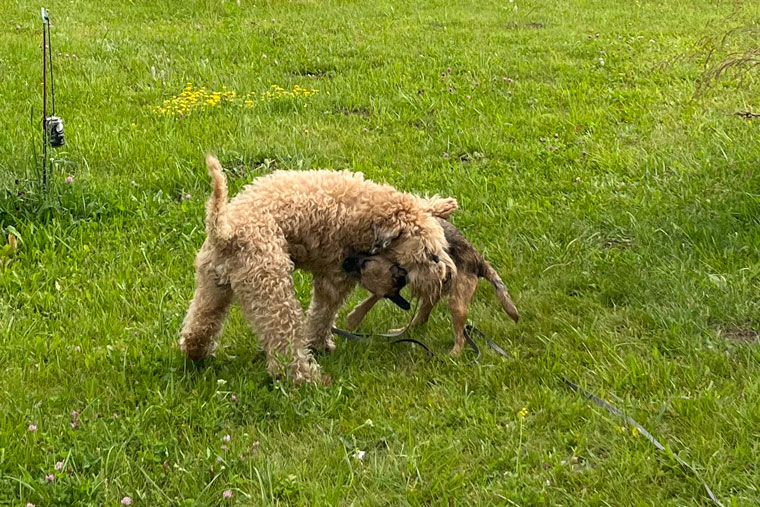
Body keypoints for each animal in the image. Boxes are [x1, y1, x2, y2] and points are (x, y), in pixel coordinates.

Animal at [180, 155, 458, 384]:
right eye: (429, 255)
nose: (446, 279)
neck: (366, 211)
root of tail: (225, 230)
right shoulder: (334, 276)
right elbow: (323, 313)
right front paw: (320, 344)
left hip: (213, 283)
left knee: (198, 326)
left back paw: (197, 353)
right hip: (272, 290)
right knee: (285, 347)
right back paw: (309, 378)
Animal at [342, 219, 516, 358]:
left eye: (365, 264)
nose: (345, 262)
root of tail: (479, 262)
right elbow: (373, 298)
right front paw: (355, 317)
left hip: (456, 302)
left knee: (460, 337)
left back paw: (453, 355)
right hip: (433, 293)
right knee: (422, 317)